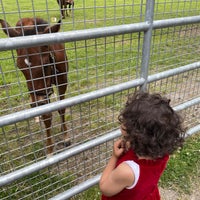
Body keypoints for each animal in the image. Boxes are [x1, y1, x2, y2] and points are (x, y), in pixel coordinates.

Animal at [0, 17, 70, 156]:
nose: (39, 102)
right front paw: (50, 149)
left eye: (45, 64)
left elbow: (61, 108)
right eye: (20, 67)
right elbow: (46, 115)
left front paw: (65, 136)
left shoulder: (62, 82)